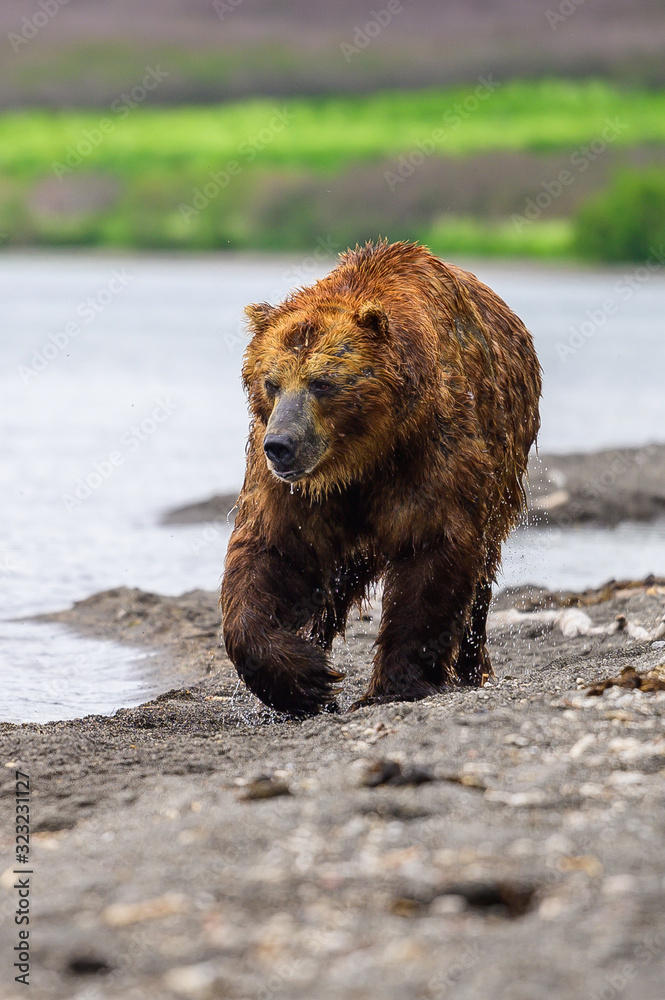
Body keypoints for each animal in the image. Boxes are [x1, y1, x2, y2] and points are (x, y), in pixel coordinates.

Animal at [221, 239, 541, 717]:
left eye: (322, 383)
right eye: (271, 381)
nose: (280, 445)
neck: (360, 458)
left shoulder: (429, 451)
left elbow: (431, 548)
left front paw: (394, 684)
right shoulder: (294, 491)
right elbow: (271, 550)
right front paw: (305, 678)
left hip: (504, 464)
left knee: (483, 568)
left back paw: (473, 666)